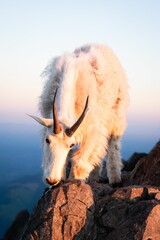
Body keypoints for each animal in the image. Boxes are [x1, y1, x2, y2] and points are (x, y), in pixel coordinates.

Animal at [30, 43, 129, 186]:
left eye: (71, 145)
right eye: (47, 140)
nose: (51, 180)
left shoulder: (92, 130)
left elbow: (79, 162)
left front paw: (74, 183)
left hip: (117, 112)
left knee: (112, 143)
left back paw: (114, 178)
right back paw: (94, 178)